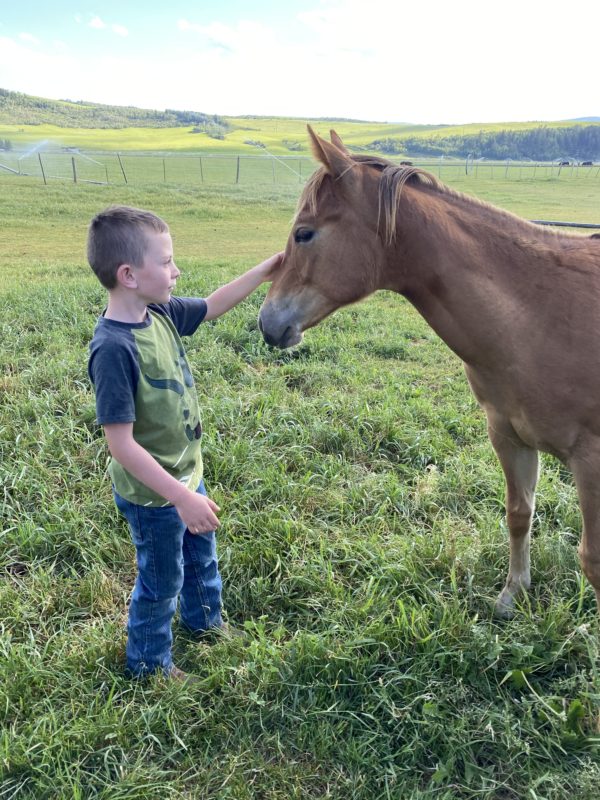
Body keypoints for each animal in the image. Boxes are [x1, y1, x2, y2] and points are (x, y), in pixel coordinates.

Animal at [258, 126, 600, 617]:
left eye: (304, 233)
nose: (266, 322)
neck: (542, 315)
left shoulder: (591, 461)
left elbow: (592, 560)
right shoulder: (510, 437)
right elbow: (519, 514)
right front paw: (512, 596)